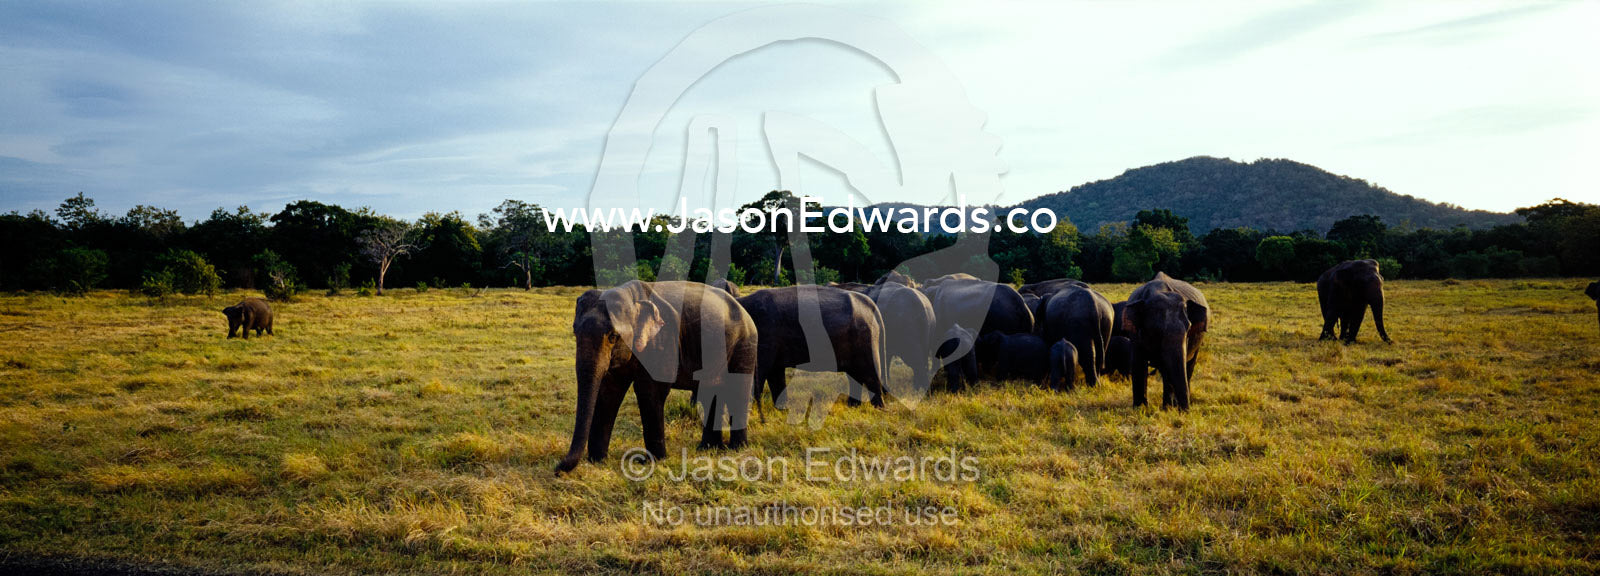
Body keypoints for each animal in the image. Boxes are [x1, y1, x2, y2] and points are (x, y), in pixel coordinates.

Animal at [558, 280, 759, 473]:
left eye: (613, 336)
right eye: (575, 332)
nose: (558, 467)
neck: (632, 297)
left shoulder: (663, 342)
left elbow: (650, 391)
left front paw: (654, 461)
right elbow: (609, 392)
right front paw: (597, 461)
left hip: (745, 343)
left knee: (737, 390)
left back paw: (737, 449)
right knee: (711, 391)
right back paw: (708, 449)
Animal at [737, 285, 891, 410]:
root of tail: (872, 306)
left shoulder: (764, 335)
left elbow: (758, 372)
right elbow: (775, 373)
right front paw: (781, 410)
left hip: (865, 339)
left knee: (870, 373)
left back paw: (878, 408)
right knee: (855, 375)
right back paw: (853, 406)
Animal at [1123, 272, 1209, 410]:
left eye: (1189, 328)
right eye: (1157, 330)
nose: (1185, 411)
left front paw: (1168, 408)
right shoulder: (1135, 336)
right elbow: (1138, 364)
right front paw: (1140, 408)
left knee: (1189, 366)